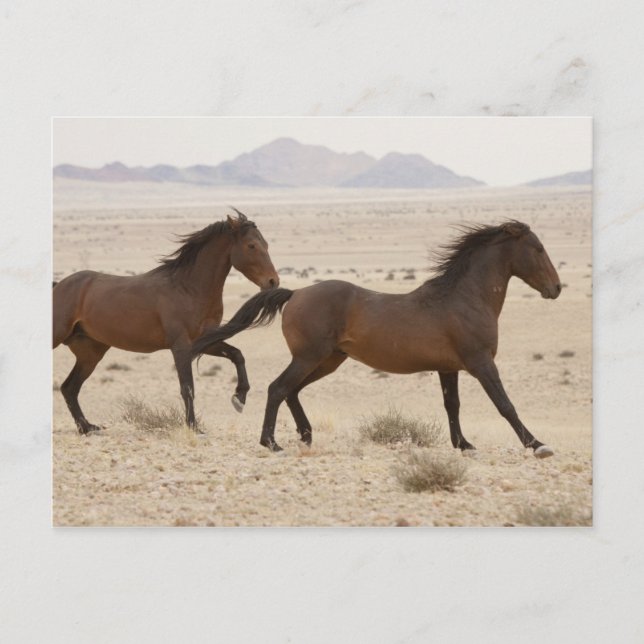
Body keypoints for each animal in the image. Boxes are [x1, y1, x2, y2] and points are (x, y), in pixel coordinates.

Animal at [53, 209, 279, 434]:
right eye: (251, 245)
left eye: (266, 244)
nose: (273, 281)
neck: (188, 289)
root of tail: (59, 285)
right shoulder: (180, 346)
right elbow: (187, 387)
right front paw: (193, 426)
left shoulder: (205, 341)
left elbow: (237, 355)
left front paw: (239, 398)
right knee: (68, 387)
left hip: (91, 353)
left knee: (69, 388)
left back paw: (87, 427)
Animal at [192, 221, 562, 457]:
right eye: (539, 248)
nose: (556, 288)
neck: (464, 298)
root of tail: (295, 293)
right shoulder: (481, 363)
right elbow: (505, 405)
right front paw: (538, 445)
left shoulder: (449, 368)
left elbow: (452, 405)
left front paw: (464, 445)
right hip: (310, 357)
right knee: (278, 388)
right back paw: (272, 443)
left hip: (327, 360)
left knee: (291, 391)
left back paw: (306, 436)